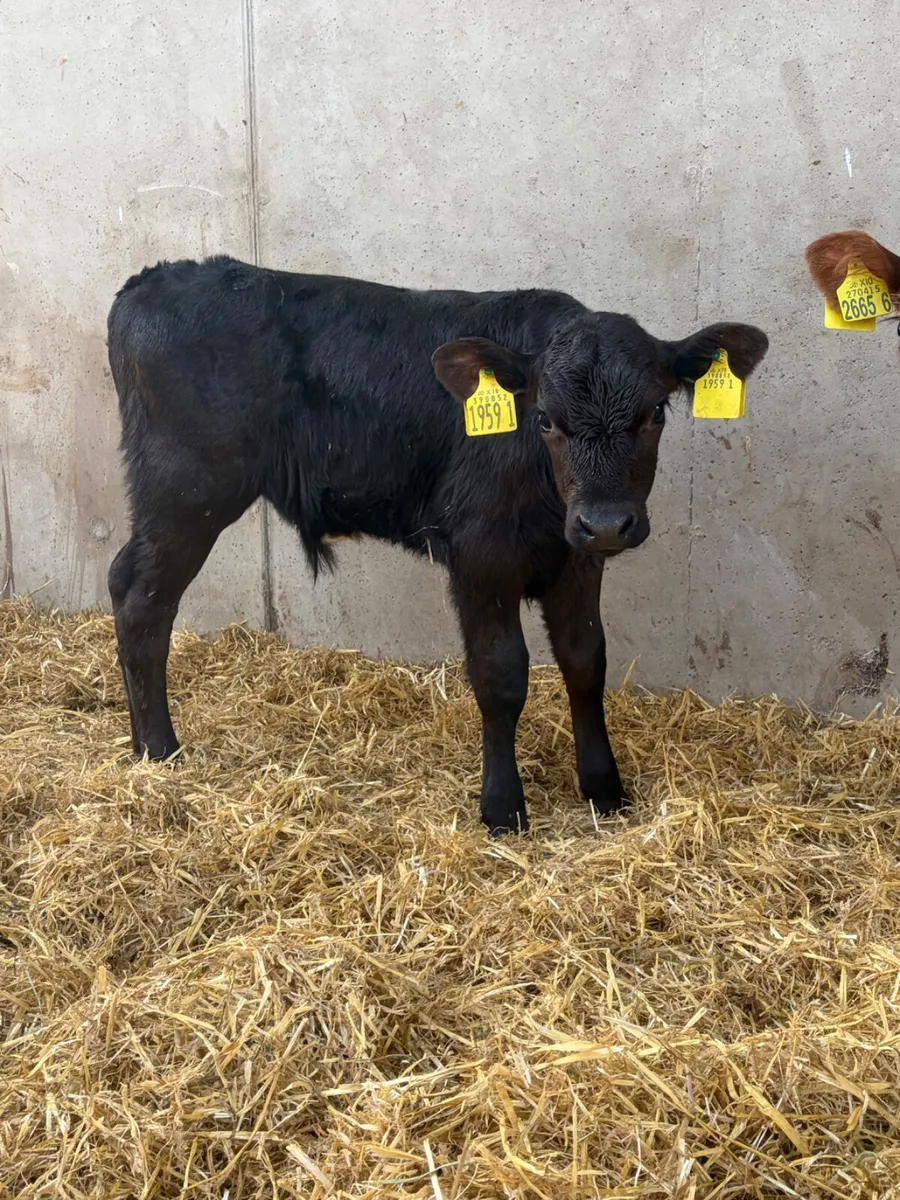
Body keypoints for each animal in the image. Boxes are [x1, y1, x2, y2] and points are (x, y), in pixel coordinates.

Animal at [106, 257, 768, 834]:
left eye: (656, 412)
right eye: (545, 419)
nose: (607, 523)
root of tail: (150, 280)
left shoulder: (576, 562)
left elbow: (586, 662)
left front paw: (605, 790)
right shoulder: (480, 557)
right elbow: (501, 675)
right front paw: (503, 809)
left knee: (122, 579)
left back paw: (142, 744)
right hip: (186, 489)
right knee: (144, 600)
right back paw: (161, 751)